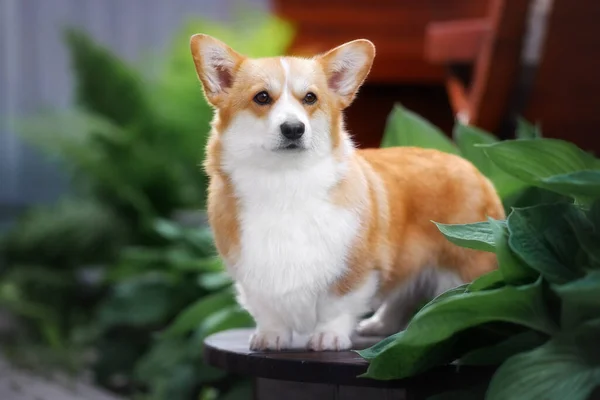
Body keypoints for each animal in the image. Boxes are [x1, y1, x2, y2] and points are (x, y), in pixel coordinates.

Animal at [191, 36, 502, 352]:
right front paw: (270, 335)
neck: (285, 183)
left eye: (310, 98)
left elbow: (337, 306)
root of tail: (472, 167)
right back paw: (380, 325)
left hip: (469, 266)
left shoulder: (356, 268)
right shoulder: (250, 273)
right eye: (262, 97)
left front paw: (329, 336)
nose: (294, 129)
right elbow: (267, 309)